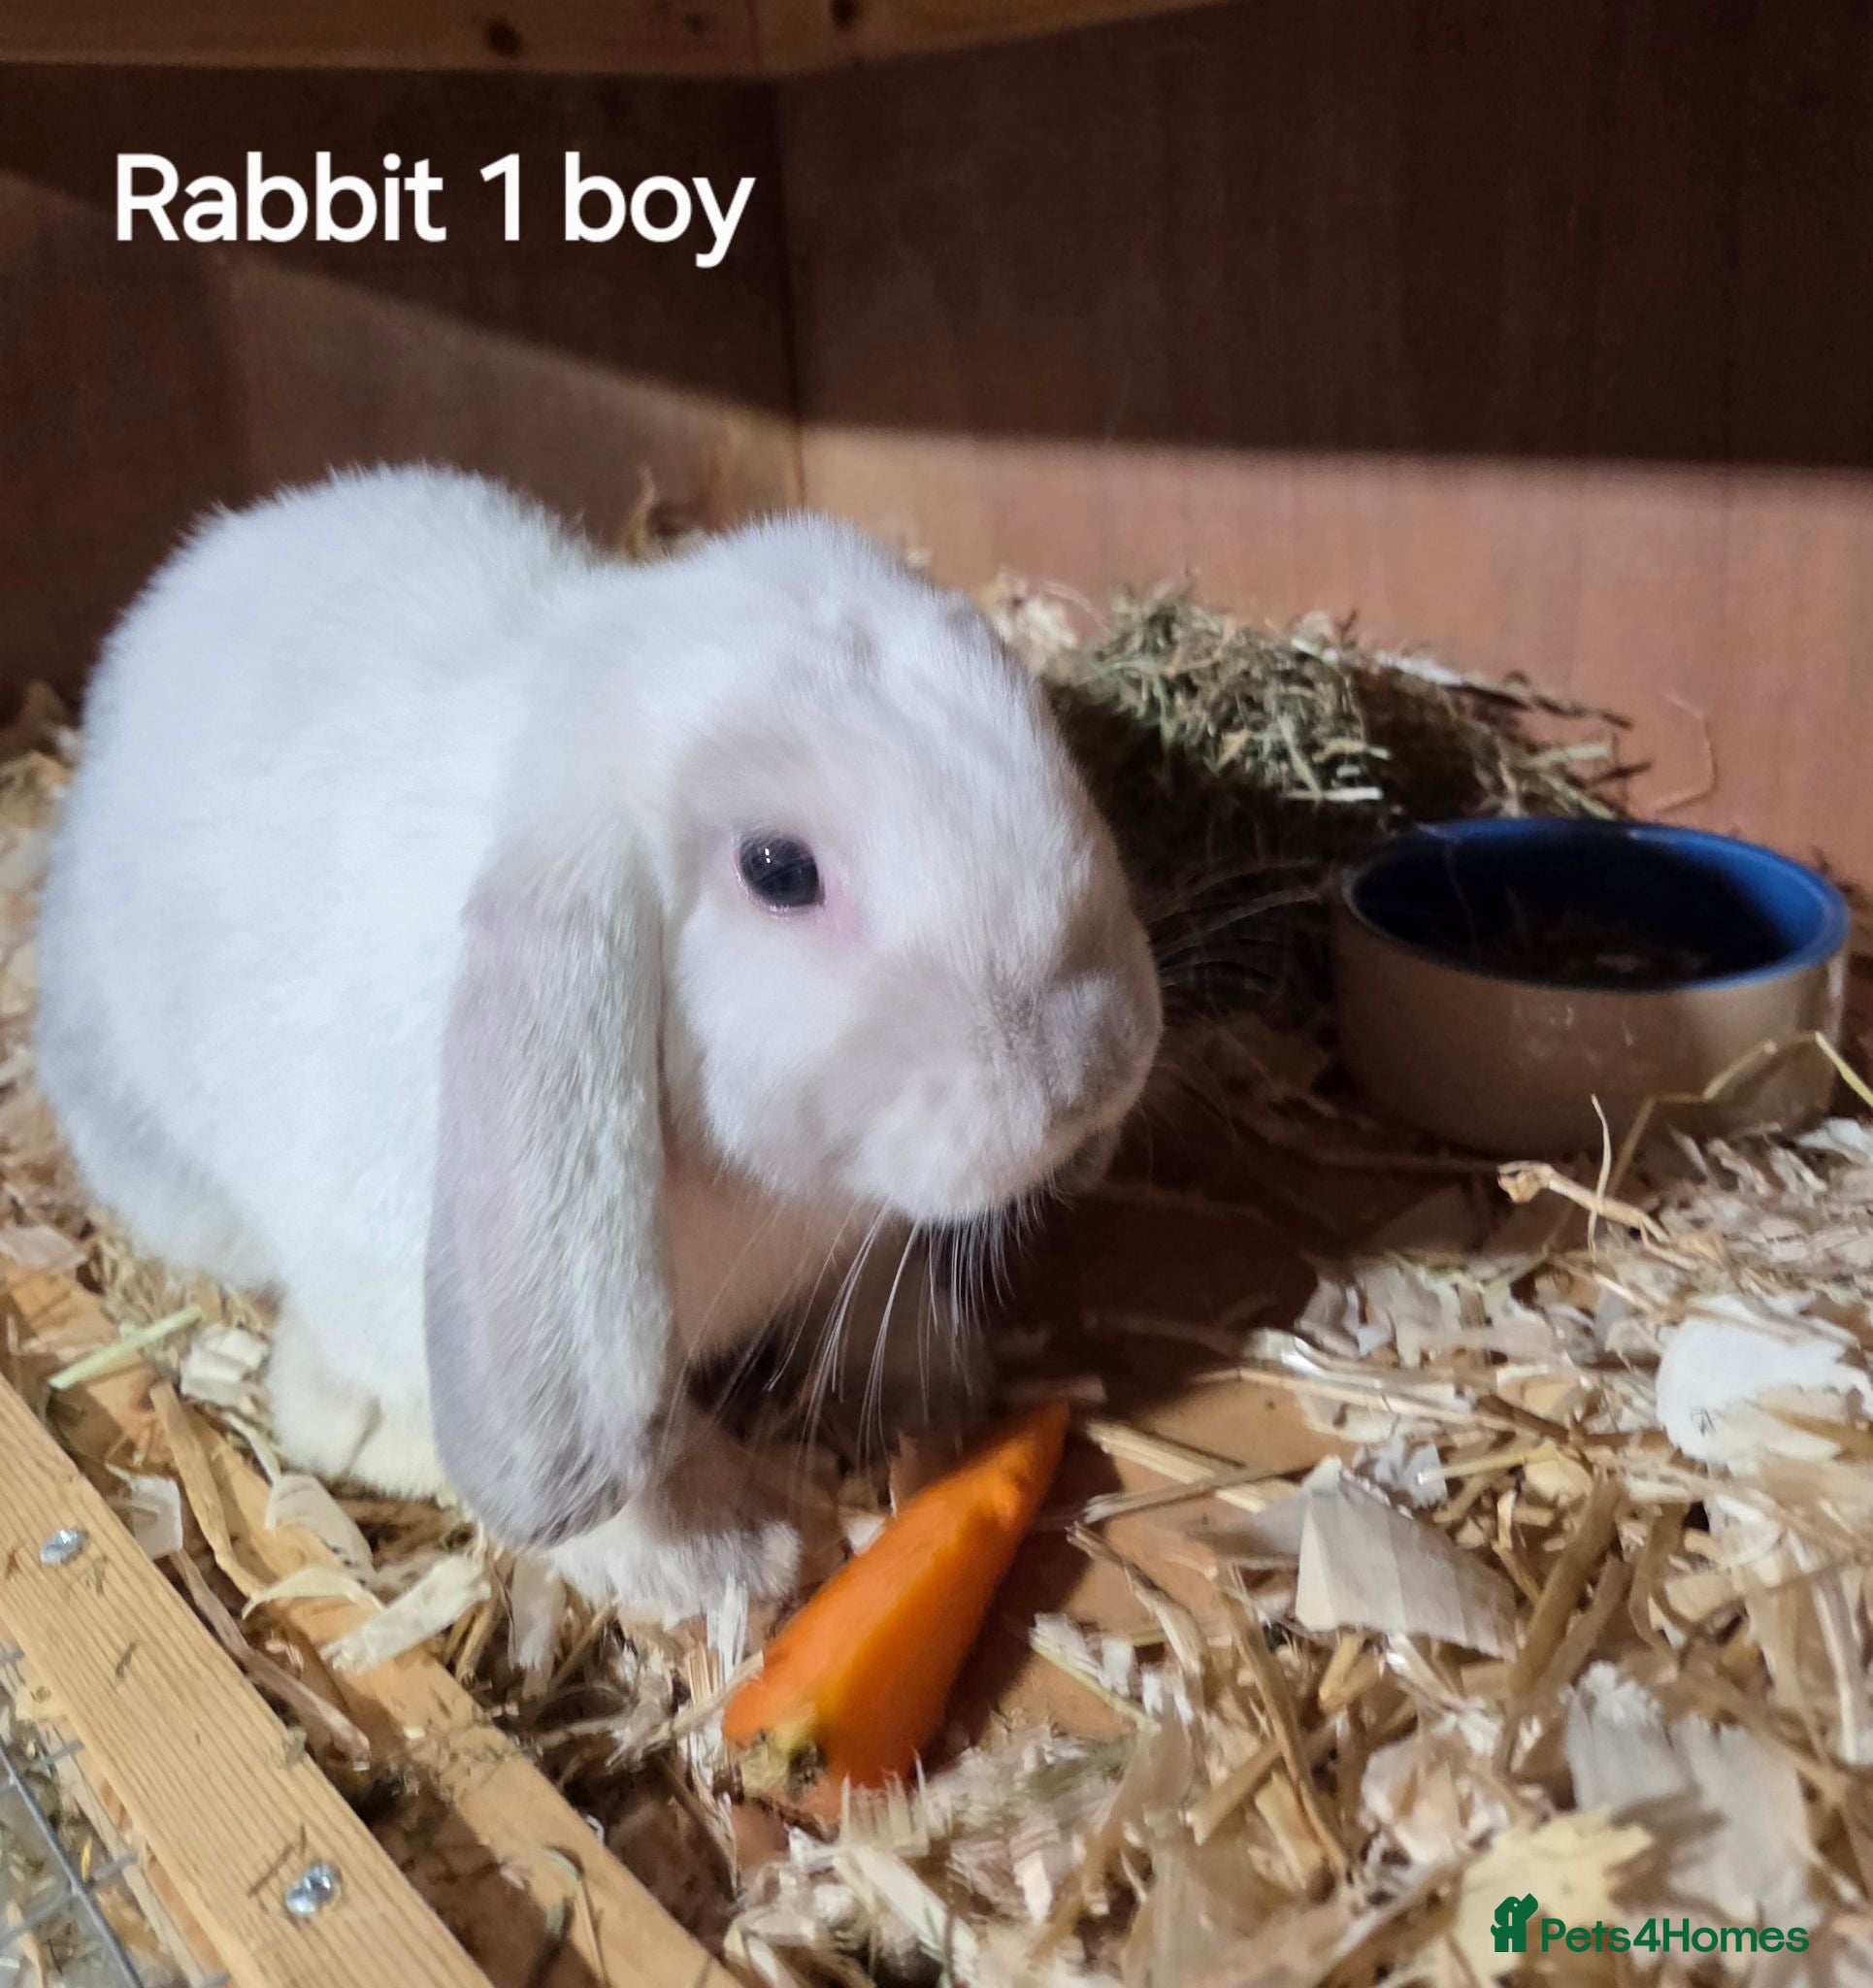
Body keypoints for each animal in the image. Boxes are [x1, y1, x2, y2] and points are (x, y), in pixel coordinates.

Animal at [35, 464, 1163, 1619]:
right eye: (779, 869)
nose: (1096, 1068)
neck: (771, 1207)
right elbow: (596, 1460)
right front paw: (725, 1557)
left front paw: (928, 1387)